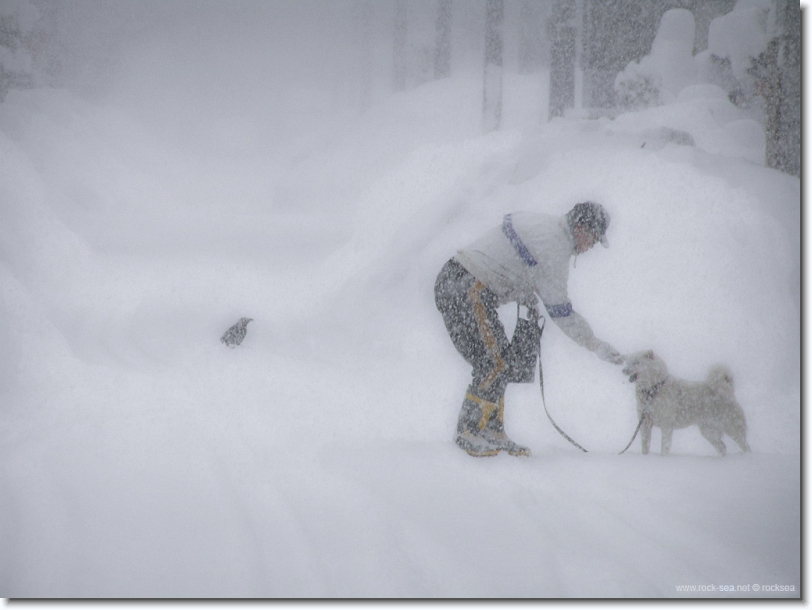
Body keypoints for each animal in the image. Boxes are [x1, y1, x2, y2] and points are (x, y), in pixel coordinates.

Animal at [620, 350, 748, 454]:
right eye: (628, 362)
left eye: (637, 362)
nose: (623, 370)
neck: (653, 390)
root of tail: (728, 391)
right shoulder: (645, 424)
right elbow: (645, 446)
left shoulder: (666, 426)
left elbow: (664, 446)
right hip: (708, 431)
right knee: (722, 447)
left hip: (732, 428)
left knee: (745, 445)